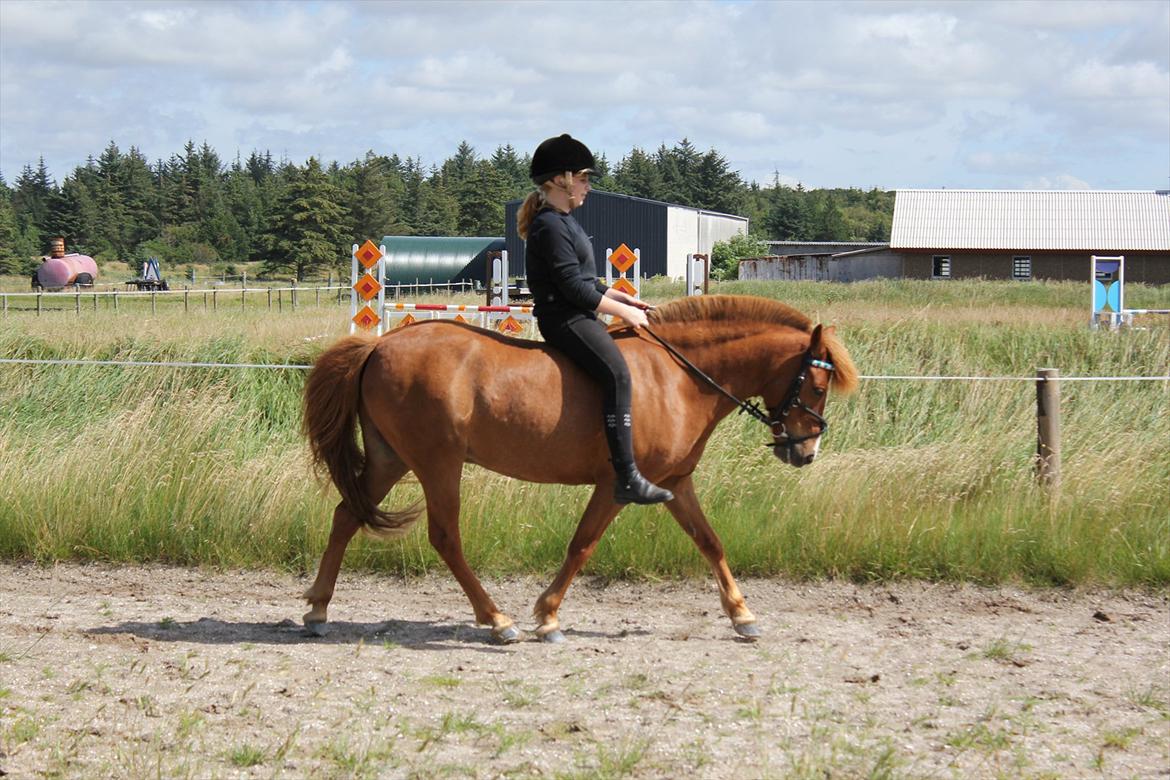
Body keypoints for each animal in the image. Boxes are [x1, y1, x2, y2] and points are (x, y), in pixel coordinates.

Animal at [301, 295, 861, 645]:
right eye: (816, 385)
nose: (805, 452)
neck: (679, 378)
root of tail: (378, 344)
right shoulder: (618, 484)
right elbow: (582, 545)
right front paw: (546, 617)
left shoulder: (675, 484)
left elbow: (710, 542)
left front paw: (743, 615)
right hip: (437, 463)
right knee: (444, 537)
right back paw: (497, 620)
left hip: (391, 458)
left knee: (345, 516)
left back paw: (318, 610)